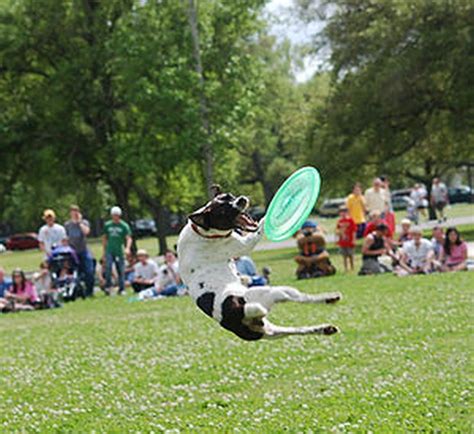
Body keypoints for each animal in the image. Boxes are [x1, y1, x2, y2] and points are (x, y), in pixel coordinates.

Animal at [178, 192, 340, 340]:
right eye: (222, 211)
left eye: (229, 196)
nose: (241, 200)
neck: (201, 231)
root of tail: (233, 315)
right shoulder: (246, 243)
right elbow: (261, 224)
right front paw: (270, 212)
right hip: (271, 293)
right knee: (299, 298)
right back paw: (329, 299)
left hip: (271, 330)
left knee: (297, 328)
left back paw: (325, 325)